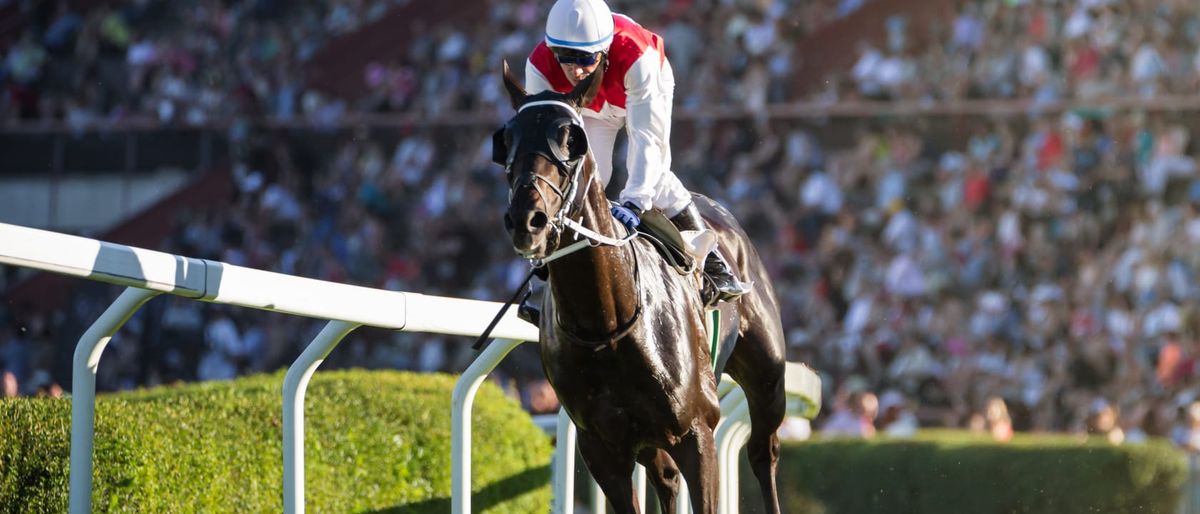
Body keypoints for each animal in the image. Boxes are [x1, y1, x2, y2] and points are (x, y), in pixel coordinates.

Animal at [492, 61, 792, 514]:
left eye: (571, 140)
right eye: (506, 139)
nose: (529, 219)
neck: (606, 323)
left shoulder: (696, 432)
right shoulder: (603, 449)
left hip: (767, 375)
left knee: (762, 452)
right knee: (666, 477)